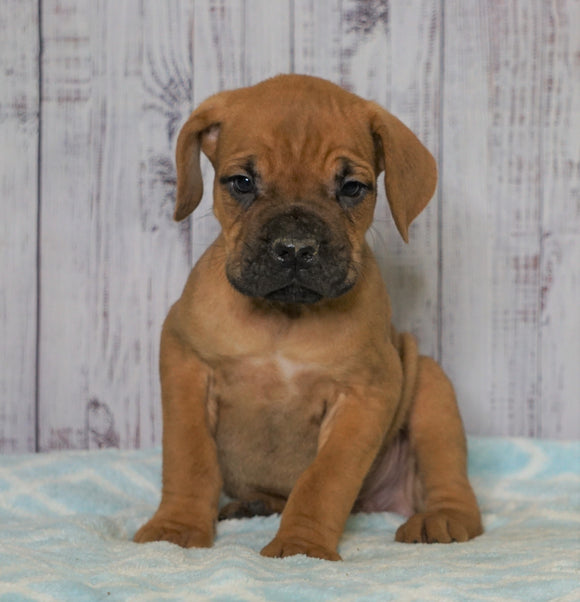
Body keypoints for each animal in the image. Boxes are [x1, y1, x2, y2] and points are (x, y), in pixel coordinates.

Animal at [134, 74, 482, 556]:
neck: (285, 316)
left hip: (432, 390)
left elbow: (324, 480)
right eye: (241, 182)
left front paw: (301, 546)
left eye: (352, 188)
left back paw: (443, 519)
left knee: (448, 478)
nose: (295, 248)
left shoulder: (364, 394)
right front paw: (175, 529)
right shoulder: (186, 362)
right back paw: (257, 504)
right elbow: (189, 458)